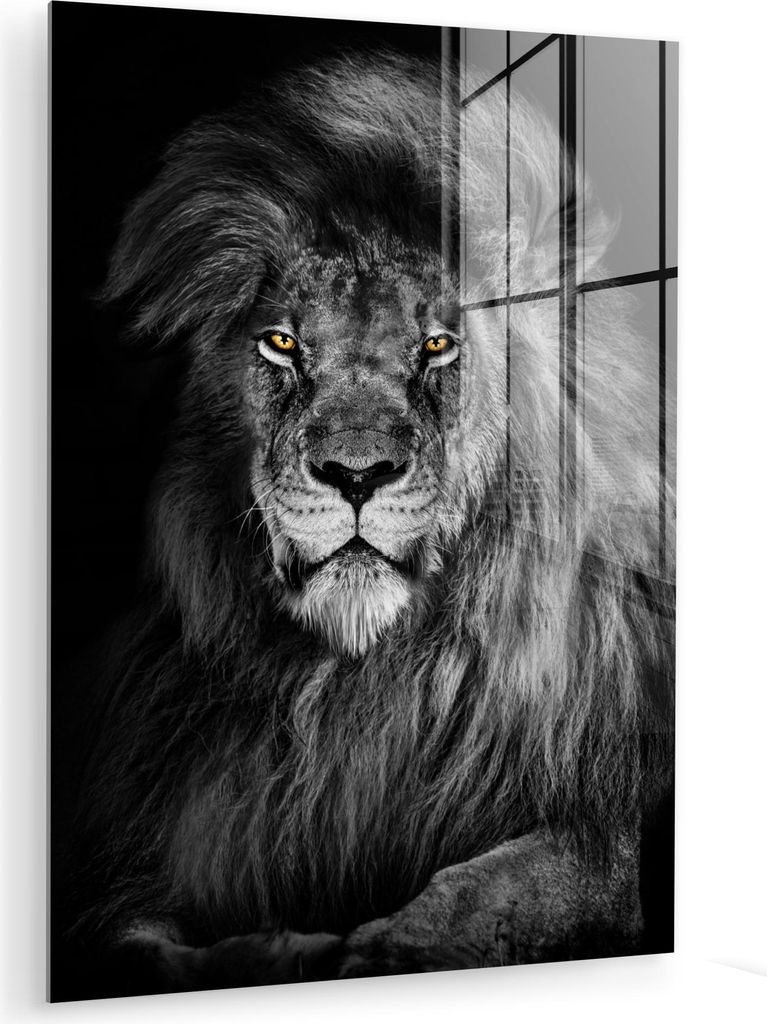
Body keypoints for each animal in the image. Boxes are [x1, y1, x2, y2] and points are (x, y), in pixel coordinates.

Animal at [65, 50, 674, 996]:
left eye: (437, 345)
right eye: (281, 344)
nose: (356, 475)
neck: (360, 687)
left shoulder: (594, 836)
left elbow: (489, 891)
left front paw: (385, 946)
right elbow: (139, 945)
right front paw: (275, 953)